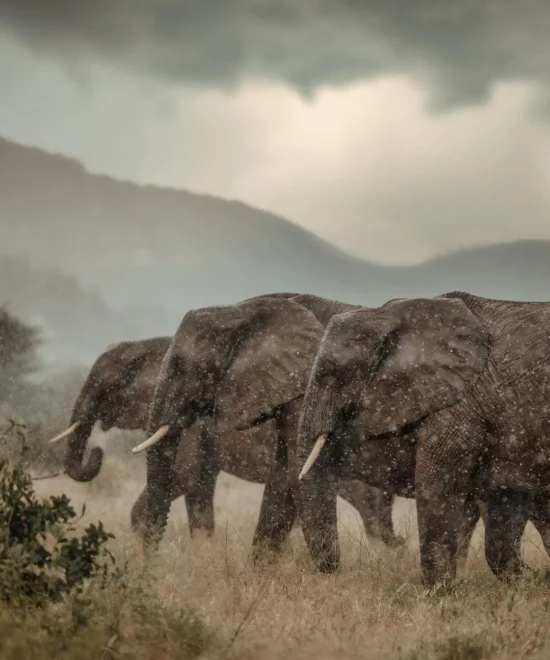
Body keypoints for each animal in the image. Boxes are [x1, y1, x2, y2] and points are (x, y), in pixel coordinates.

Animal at [137, 294, 488, 564]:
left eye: (180, 366)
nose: (151, 563)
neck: (242, 309)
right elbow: (283, 473)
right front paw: (258, 575)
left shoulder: (301, 389)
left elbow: (294, 474)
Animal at [298, 292, 550, 584]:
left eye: (332, 373)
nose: (334, 570)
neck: (387, 315)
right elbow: (505, 508)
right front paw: (533, 580)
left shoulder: (460, 406)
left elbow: (435, 486)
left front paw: (438, 592)